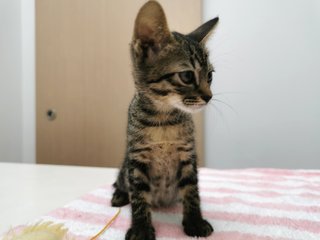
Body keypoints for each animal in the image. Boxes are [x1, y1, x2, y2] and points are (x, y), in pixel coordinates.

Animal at [111, 0, 219, 239]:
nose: (209, 96)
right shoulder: (137, 158)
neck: (164, 120)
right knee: (121, 181)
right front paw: (141, 228)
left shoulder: (188, 155)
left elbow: (192, 190)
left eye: (210, 76)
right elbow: (138, 196)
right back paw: (119, 195)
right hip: (125, 166)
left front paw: (195, 221)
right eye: (187, 76)